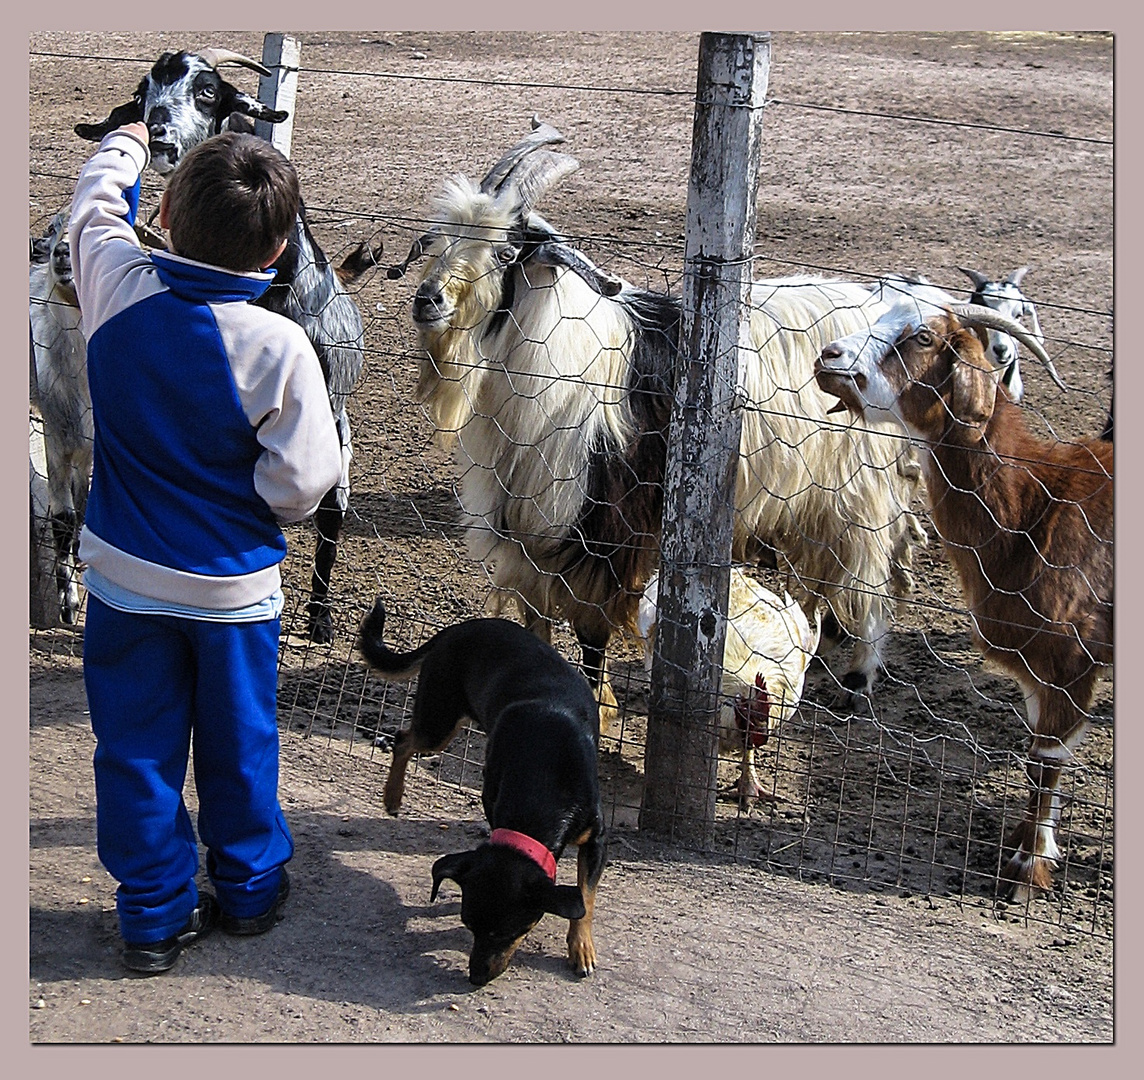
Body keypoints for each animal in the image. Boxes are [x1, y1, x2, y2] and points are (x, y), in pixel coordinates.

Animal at [73, 48, 382, 640]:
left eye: (208, 90)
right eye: (142, 92)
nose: (158, 135)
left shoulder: (326, 414)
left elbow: (328, 513)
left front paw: (321, 618)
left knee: (331, 513)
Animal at [359, 599, 608, 988]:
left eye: (509, 932)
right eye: (468, 926)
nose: (476, 977)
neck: (542, 776)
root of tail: (458, 628)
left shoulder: (595, 839)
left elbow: (585, 897)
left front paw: (581, 949)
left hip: (448, 720)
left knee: (404, 739)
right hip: (440, 720)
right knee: (403, 740)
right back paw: (393, 797)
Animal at [819, 299, 1111, 896]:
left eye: (923, 338)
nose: (828, 356)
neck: (1035, 507)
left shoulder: (1072, 660)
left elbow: (1045, 760)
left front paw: (1027, 872)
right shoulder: (1036, 669)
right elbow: (1040, 757)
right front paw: (1031, 846)